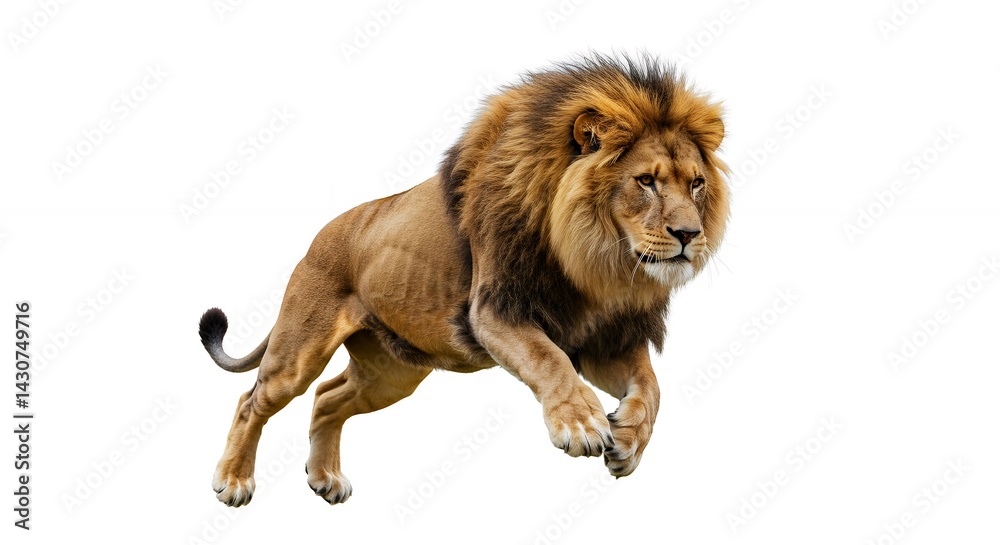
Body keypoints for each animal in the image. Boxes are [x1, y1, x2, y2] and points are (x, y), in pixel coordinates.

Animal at [200, 54, 730, 506]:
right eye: (646, 181)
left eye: (696, 183)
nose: (689, 235)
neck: (598, 262)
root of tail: (317, 238)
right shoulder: (495, 311)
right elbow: (550, 359)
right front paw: (580, 423)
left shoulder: (604, 338)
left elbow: (652, 388)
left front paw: (629, 440)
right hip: (299, 350)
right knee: (253, 400)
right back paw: (234, 481)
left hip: (391, 373)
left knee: (328, 397)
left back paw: (325, 477)